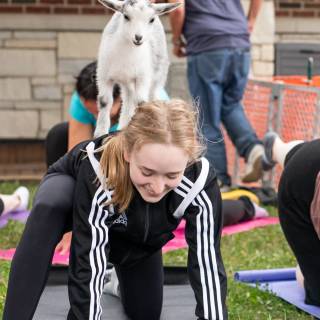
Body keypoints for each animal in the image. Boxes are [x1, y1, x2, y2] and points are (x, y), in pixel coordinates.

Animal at [94, 0, 180, 136]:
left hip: (157, 77)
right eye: (126, 16)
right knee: (128, 100)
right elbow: (104, 101)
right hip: (127, 84)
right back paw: (123, 126)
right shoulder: (103, 76)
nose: (138, 38)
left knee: (150, 98)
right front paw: (100, 133)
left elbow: (141, 102)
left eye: (151, 19)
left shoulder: (142, 77)